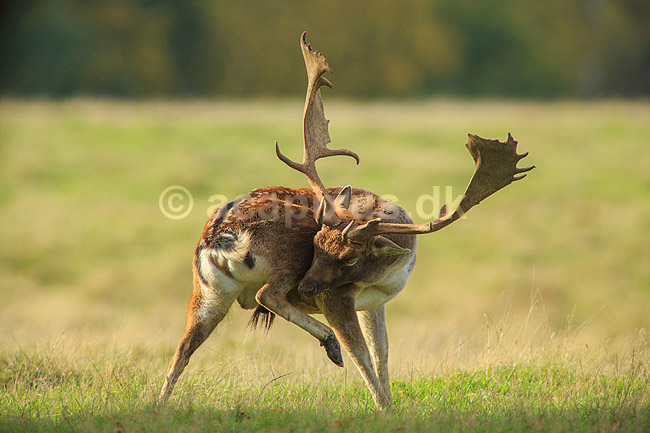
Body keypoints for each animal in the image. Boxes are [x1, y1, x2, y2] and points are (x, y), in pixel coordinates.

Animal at [159, 32, 534, 410]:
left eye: (351, 258)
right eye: (316, 243)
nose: (307, 287)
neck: (385, 271)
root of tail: (220, 239)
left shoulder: (376, 302)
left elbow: (383, 353)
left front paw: (391, 404)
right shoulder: (337, 297)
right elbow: (363, 355)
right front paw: (383, 406)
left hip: (209, 290)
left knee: (183, 347)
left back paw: (160, 403)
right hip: (283, 258)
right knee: (268, 295)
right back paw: (330, 344)